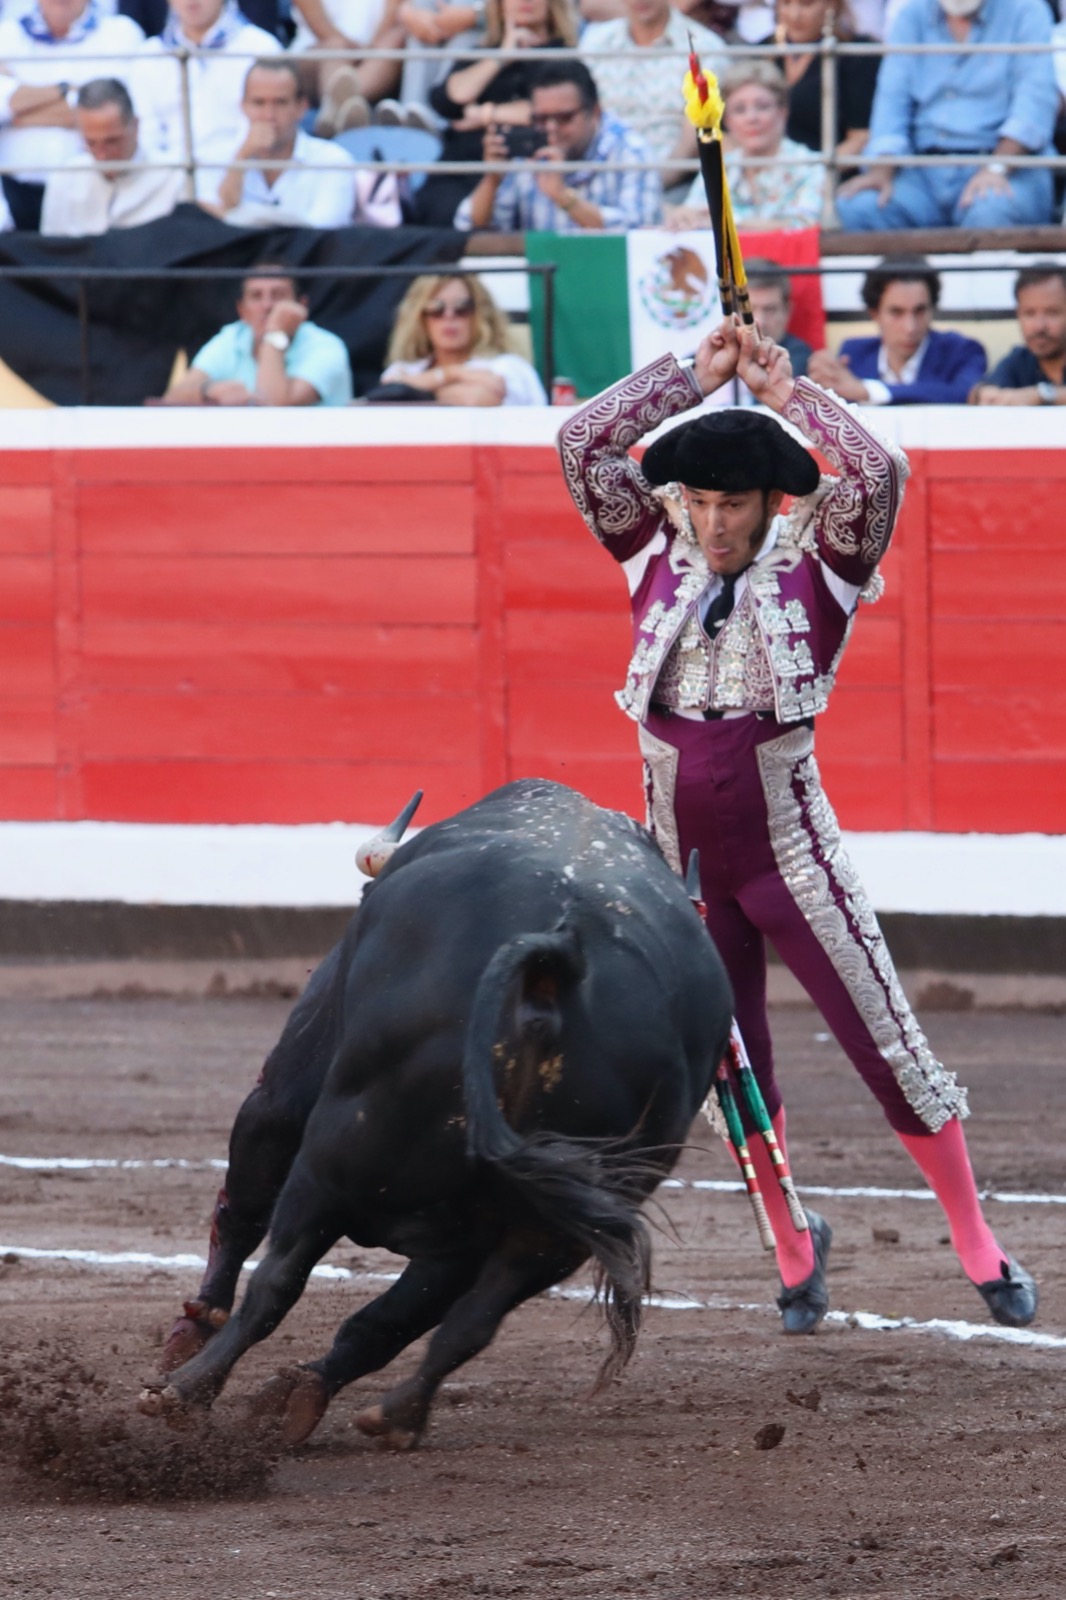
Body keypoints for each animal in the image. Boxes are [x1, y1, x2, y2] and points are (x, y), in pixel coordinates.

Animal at [143, 777, 729, 1452]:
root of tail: (558, 952)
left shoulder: (284, 1094)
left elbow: (244, 1211)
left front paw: (194, 1335)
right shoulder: (463, 1248)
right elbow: (390, 1323)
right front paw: (293, 1395)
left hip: (330, 1159)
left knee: (277, 1275)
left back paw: (186, 1390)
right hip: (562, 1226)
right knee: (466, 1319)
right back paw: (394, 1414)